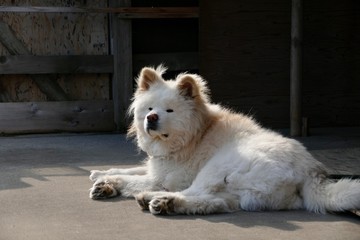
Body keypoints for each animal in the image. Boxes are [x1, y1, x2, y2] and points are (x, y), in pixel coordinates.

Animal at [88, 65, 358, 216]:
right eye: (150, 108)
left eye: (169, 111)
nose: (151, 118)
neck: (194, 135)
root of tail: (312, 171)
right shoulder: (157, 167)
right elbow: (131, 169)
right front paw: (101, 175)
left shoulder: (165, 177)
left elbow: (132, 179)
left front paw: (108, 182)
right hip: (242, 194)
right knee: (216, 203)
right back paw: (163, 203)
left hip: (217, 166)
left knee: (196, 193)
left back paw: (157, 199)